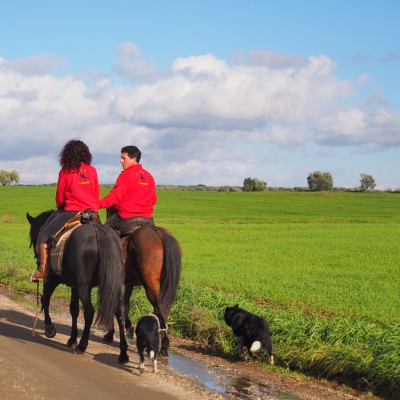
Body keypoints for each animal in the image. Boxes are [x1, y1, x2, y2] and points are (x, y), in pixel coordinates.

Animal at [26, 211, 128, 364]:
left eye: (33, 235)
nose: (37, 257)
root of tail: (100, 233)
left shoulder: (52, 280)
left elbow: (45, 299)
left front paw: (50, 327)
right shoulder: (74, 286)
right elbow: (73, 309)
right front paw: (72, 338)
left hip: (83, 286)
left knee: (89, 311)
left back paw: (82, 345)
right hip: (114, 286)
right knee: (120, 312)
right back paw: (123, 354)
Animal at [104, 212, 184, 356]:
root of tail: (159, 232)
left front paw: (110, 334)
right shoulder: (128, 283)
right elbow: (125, 305)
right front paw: (128, 328)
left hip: (149, 284)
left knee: (159, 307)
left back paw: (163, 345)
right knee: (165, 308)